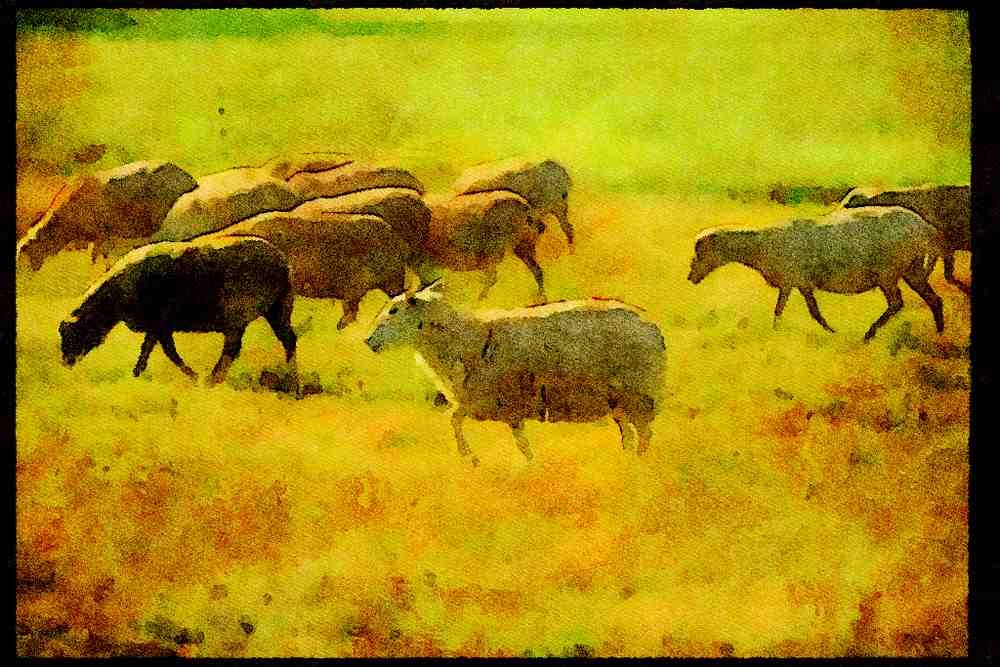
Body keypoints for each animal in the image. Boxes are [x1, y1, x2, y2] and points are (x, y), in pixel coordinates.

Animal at [59, 236, 297, 386]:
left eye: (74, 335)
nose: (66, 363)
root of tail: (283, 262)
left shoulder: (159, 324)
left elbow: (167, 353)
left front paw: (192, 376)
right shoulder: (158, 328)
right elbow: (151, 351)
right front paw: (136, 375)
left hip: (240, 314)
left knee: (234, 349)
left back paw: (213, 380)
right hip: (277, 309)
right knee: (287, 340)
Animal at [365, 281, 666, 465]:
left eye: (394, 310)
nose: (368, 341)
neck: (465, 338)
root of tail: (652, 326)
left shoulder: (494, 399)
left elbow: (454, 420)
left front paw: (470, 458)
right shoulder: (494, 405)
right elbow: (504, 436)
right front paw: (526, 462)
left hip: (639, 394)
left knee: (644, 434)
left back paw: (640, 462)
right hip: (619, 400)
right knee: (628, 434)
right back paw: (625, 458)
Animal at [687, 206, 947, 342]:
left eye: (699, 252)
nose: (690, 277)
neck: (760, 245)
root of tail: (922, 225)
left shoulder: (790, 279)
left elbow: (782, 310)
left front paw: (776, 333)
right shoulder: (799, 283)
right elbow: (810, 311)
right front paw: (828, 331)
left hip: (888, 272)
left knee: (896, 303)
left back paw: (868, 334)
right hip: (912, 268)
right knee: (934, 299)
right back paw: (940, 333)